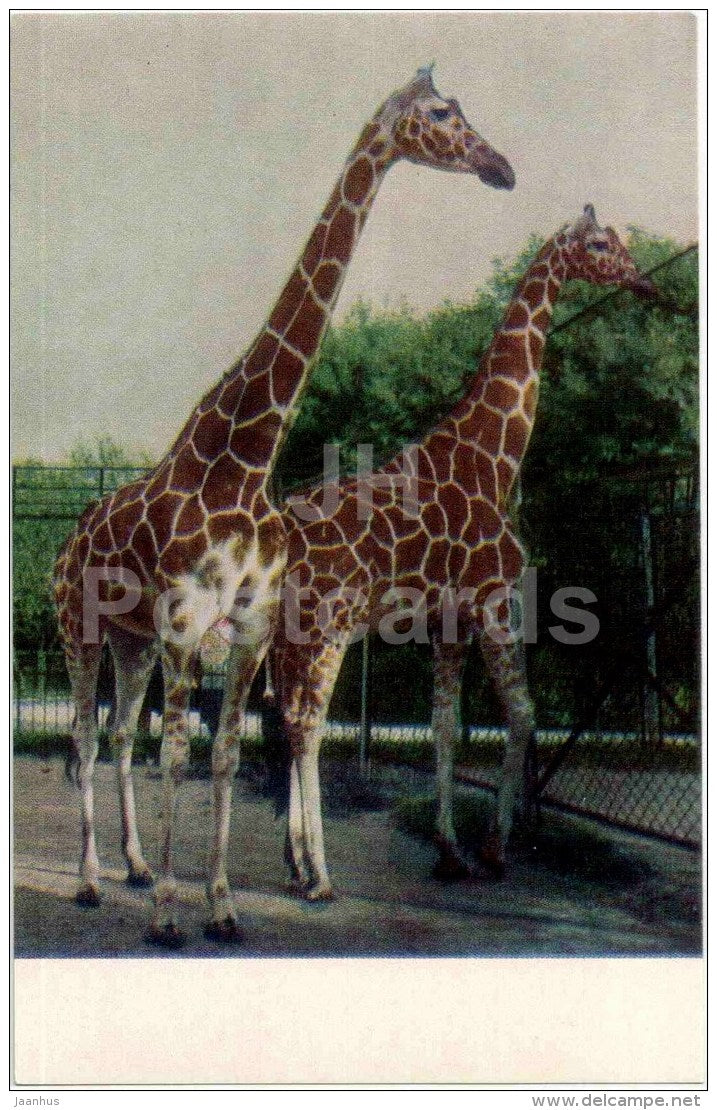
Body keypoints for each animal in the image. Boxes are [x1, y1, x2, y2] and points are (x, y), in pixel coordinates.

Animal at [52, 66, 515, 947]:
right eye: (442, 114)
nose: (500, 167)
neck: (244, 461)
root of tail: (66, 543)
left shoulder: (251, 625)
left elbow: (226, 753)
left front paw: (222, 905)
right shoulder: (186, 623)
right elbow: (179, 753)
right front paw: (170, 916)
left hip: (130, 641)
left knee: (120, 732)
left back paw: (133, 866)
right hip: (81, 627)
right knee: (88, 737)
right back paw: (95, 881)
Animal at [268, 205, 656, 899]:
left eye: (618, 241)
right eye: (597, 244)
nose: (642, 282)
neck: (494, 459)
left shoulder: (447, 619)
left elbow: (445, 727)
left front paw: (450, 850)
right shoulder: (495, 602)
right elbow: (523, 714)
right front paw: (496, 848)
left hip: (289, 635)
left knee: (285, 717)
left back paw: (295, 862)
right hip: (328, 626)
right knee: (306, 723)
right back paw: (320, 874)